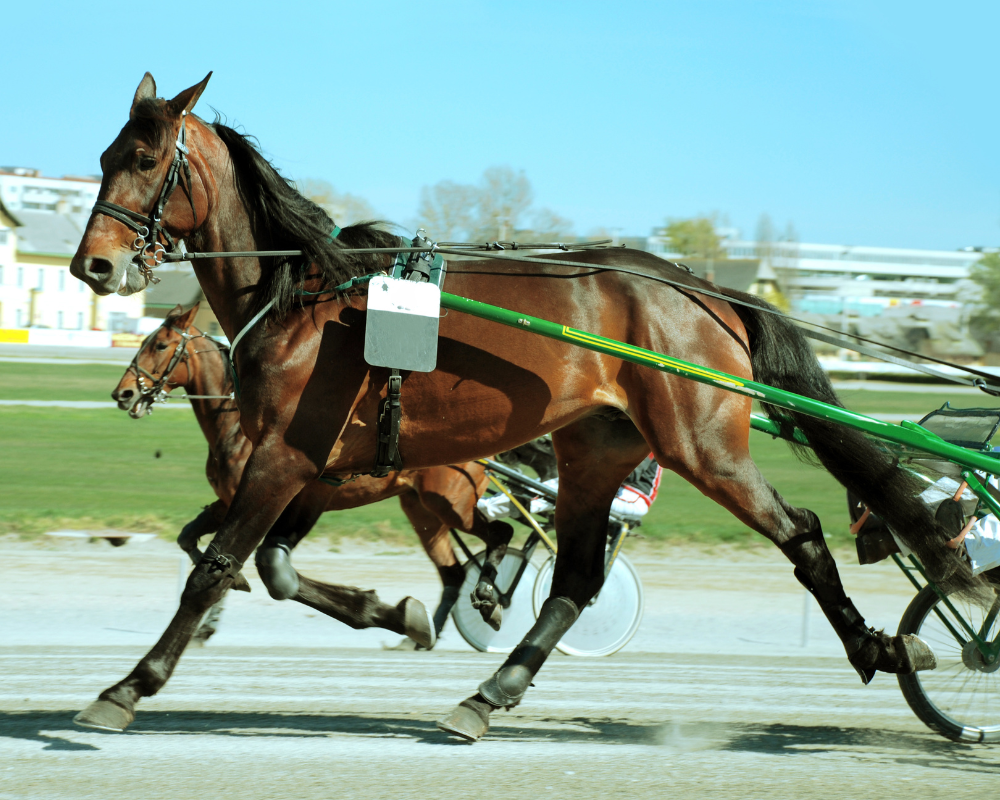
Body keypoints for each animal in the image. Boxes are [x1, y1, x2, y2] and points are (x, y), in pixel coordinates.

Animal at [110, 304, 516, 644]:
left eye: (160, 344)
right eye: (143, 341)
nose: (122, 393)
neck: (237, 428)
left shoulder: (256, 497)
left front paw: (218, 604)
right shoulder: (228, 499)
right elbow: (188, 537)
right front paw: (226, 594)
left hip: (449, 504)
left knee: (499, 534)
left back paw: (486, 597)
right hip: (421, 511)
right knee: (453, 573)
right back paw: (420, 635)